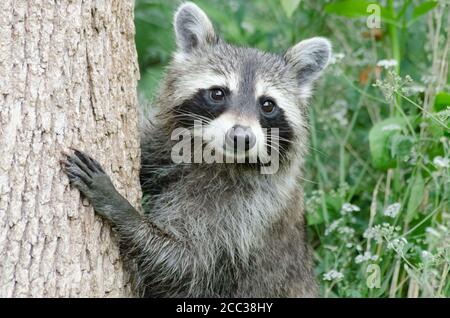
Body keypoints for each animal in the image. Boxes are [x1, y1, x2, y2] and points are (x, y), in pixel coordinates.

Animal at [62, 1, 330, 298]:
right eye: (218, 93)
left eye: (268, 105)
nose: (241, 137)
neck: (214, 157)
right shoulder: (160, 145)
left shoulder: (247, 212)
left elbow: (184, 262)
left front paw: (122, 209)